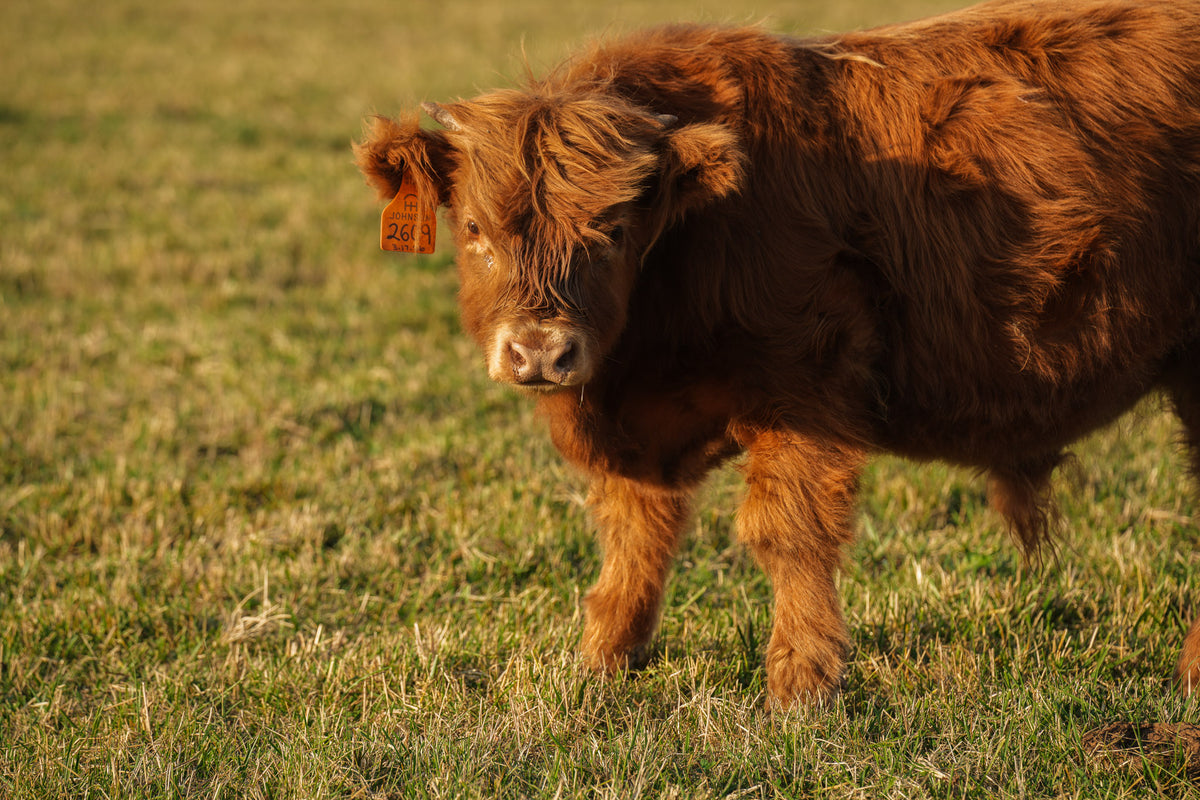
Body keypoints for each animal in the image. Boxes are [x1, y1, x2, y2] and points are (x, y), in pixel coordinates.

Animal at [355, 0, 1200, 708]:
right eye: (474, 229)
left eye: (614, 232)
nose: (539, 350)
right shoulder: (638, 433)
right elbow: (635, 533)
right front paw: (604, 658)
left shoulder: (807, 381)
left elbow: (786, 532)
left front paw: (801, 683)